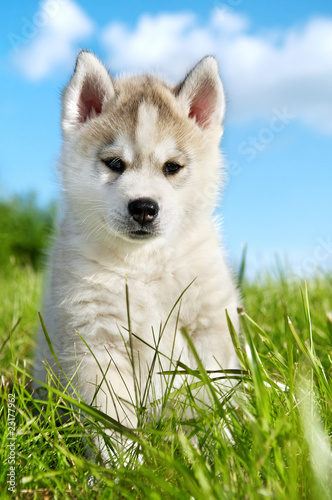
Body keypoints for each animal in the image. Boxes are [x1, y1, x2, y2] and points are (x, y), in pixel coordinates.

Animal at [33, 51, 240, 460]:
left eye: (172, 167)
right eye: (115, 164)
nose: (144, 207)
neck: (144, 264)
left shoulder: (208, 328)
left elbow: (210, 395)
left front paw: (215, 453)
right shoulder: (95, 341)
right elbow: (112, 420)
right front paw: (125, 466)